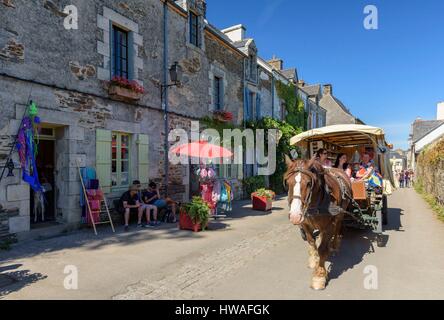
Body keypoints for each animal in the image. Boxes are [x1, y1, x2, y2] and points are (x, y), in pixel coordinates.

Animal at [284, 156, 354, 290]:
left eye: (308, 183)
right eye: (288, 182)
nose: (294, 216)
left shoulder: (329, 225)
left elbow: (322, 249)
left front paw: (319, 276)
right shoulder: (305, 224)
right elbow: (311, 241)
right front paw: (314, 259)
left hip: (340, 215)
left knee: (337, 228)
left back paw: (334, 245)